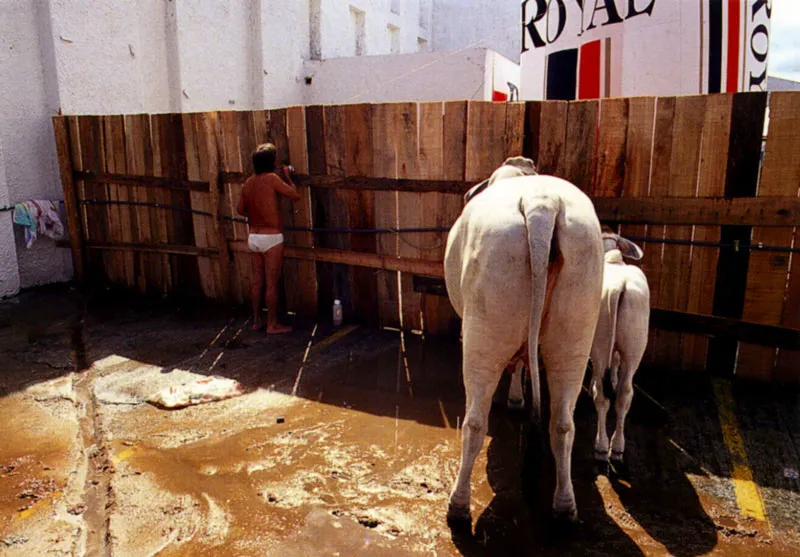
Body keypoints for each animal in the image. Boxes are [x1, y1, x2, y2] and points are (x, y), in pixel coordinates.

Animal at [440, 156, 604, 520]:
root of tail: (541, 204)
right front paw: (519, 397)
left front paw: (515, 398)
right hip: (575, 328)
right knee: (562, 423)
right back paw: (564, 506)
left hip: (484, 328)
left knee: (474, 422)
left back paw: (458, 504)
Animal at [588, 230, 648, 464]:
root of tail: (618, 287)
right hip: (635, 346)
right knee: (624, 395)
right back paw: (617, 447)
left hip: (599, 345)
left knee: (601, 395)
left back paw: (602, 446)